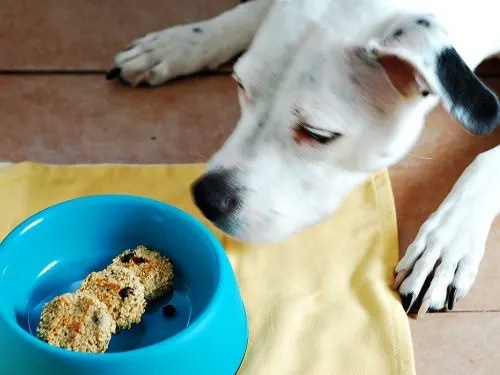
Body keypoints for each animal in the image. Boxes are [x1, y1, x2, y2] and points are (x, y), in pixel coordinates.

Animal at [108, 0, 500, 318]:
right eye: (240, 86)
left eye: (318, 134)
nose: (206, 198)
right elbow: (251, 9)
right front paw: (182, 41)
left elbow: (487, 160)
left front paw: (445, 244)